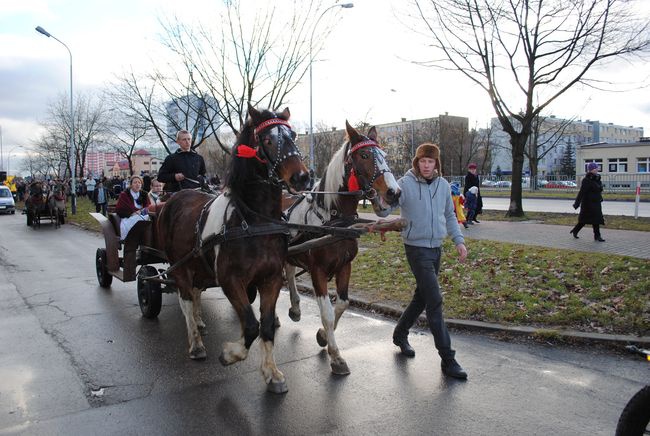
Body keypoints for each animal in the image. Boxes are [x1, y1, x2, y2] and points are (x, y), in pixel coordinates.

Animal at [156, 104, 310, 394]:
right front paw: (230, 354)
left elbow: (266, 326)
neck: (253, 221)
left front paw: (272, 373)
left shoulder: (271, 279)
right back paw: (196, 342)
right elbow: (250, 326)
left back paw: (200, 322)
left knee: (195, 293)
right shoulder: (230, 280)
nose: (303, 177)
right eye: (268, 140)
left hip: (198, 266)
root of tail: (175, 197)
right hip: (180, 266)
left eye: (293, 135)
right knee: (185, 299)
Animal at [284, 122, 400, 374]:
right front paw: (336, 356)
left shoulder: (345, 266)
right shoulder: (317, 271)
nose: (394, 192)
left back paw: (295, 308)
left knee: (288, 272)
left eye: (385, 155)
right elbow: (327, 312)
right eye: (364, 155)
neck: (334, 218)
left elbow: (343, 304)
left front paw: (322, 336)